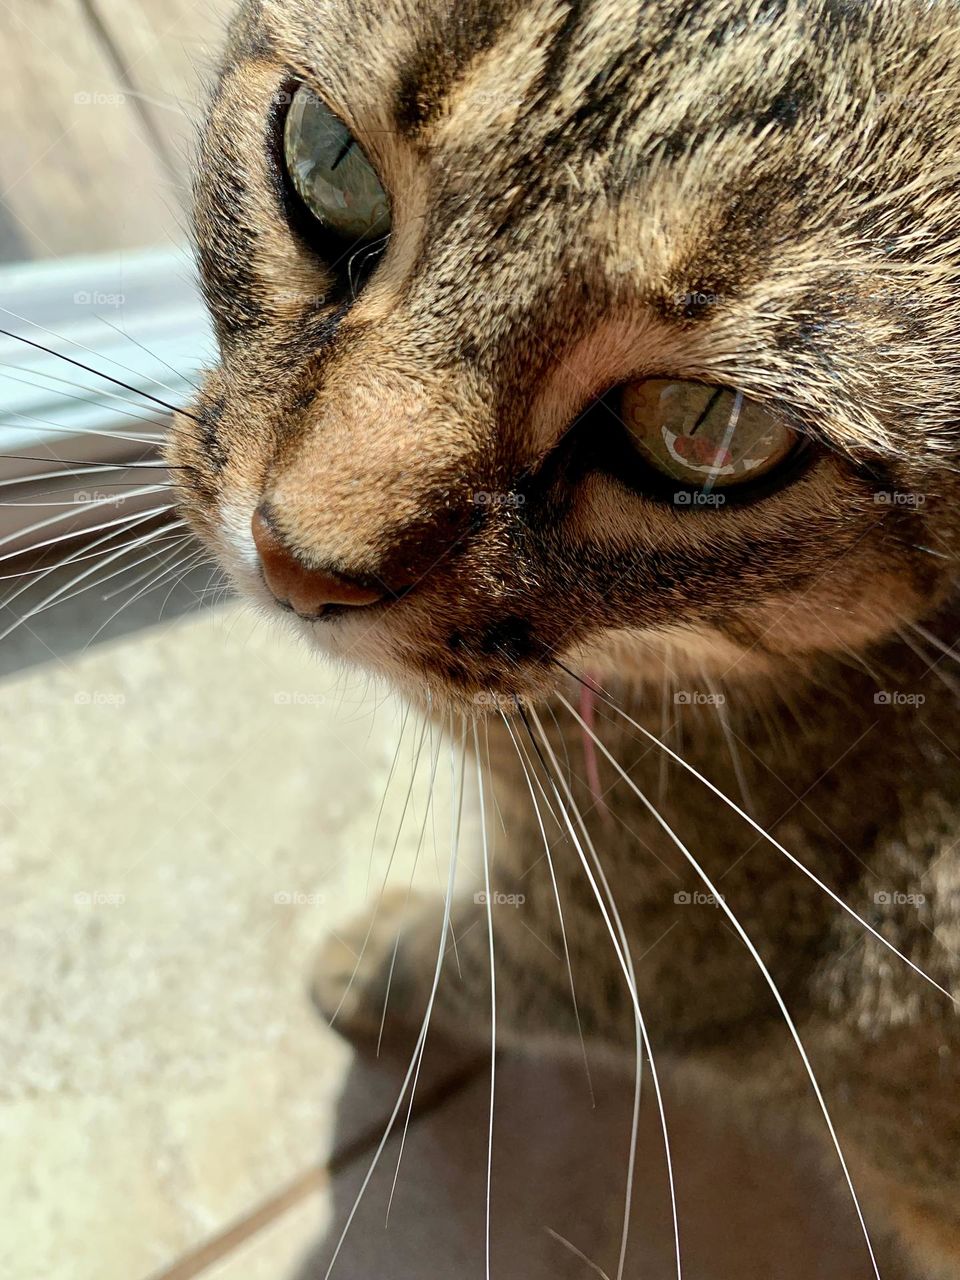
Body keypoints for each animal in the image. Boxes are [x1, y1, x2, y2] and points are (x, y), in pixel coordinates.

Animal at [168, 5, 960, 1274]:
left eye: (711, 427)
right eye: (327, 160)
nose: (295, 558)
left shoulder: (638, 955)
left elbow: (470, 961)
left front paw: (369, 960)